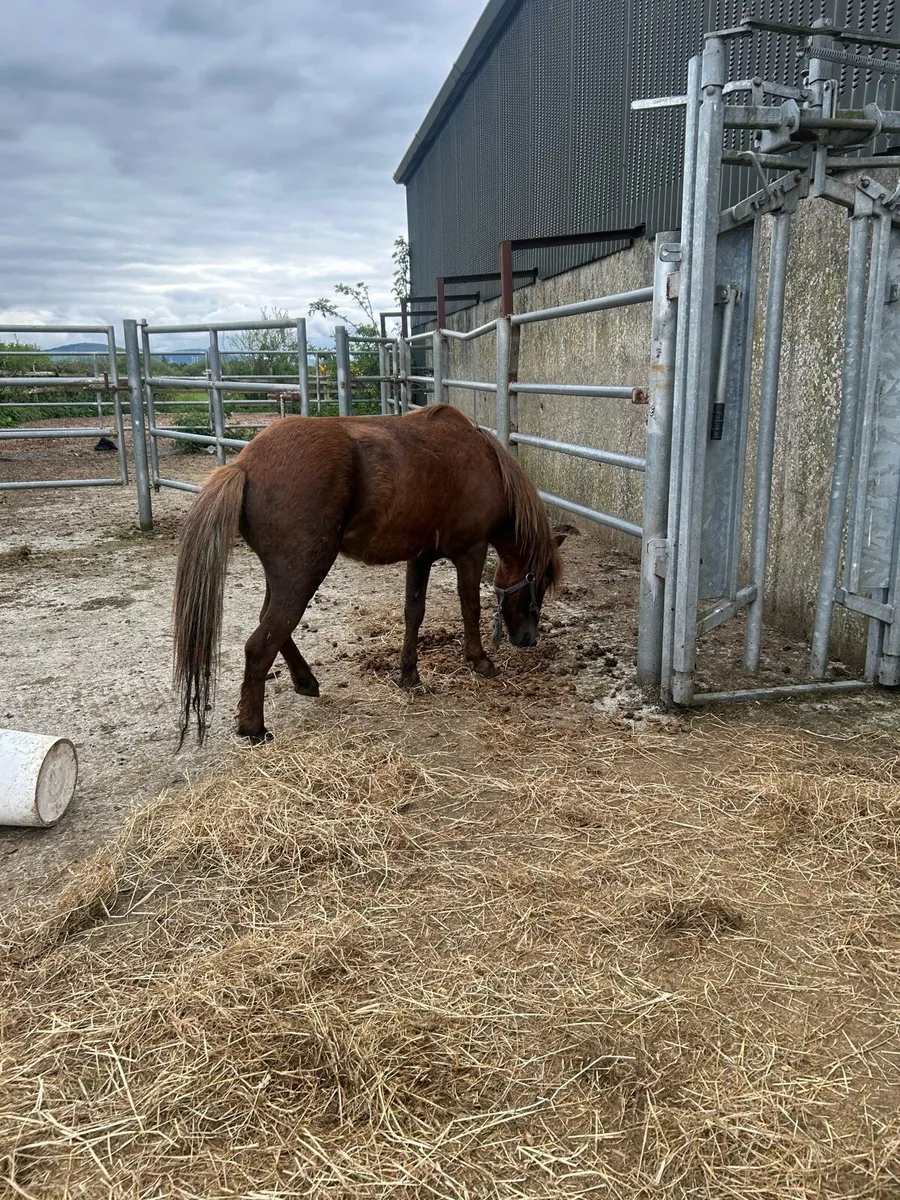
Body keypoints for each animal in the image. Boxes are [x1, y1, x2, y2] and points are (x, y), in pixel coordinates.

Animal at [172, 404, 565, 745]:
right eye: (541, 580)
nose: (528, 638)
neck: (484, 461)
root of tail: (244, 465)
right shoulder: (471, 550)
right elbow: (470, 607)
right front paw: (480, 660)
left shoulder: (421, 556)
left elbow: (414, 613)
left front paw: (408, 673)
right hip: (303, 574)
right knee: (260, 644)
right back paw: (254, 728)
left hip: (285, 577)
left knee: (271, 626)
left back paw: (305, 681)